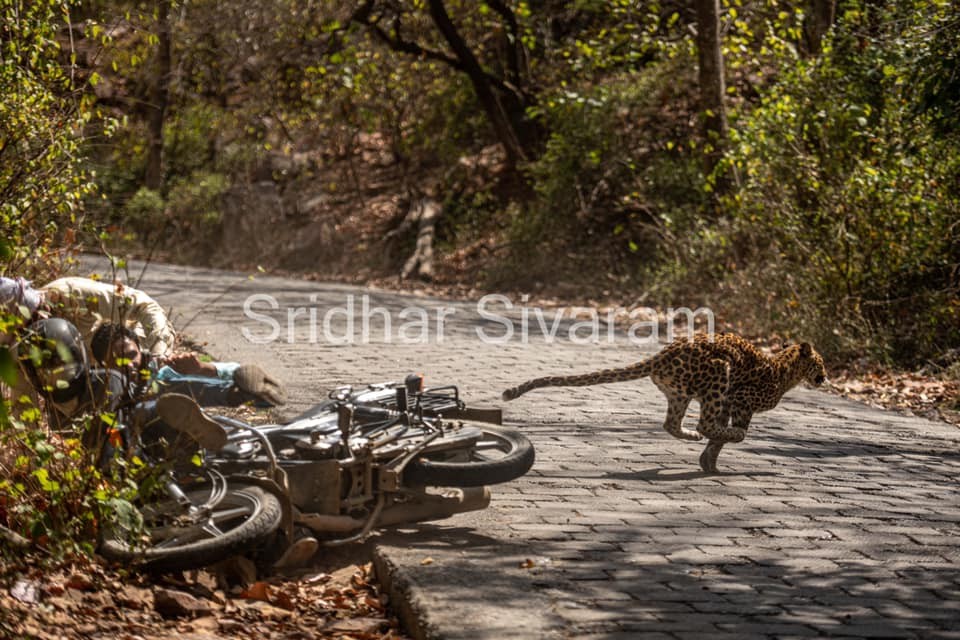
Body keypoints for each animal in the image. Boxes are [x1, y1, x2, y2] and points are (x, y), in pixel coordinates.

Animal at [502, 332, 824, 472]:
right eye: (820, 363)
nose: (825, 377)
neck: (786, 370)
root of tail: (664, 353)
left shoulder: (729, 404)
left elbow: (717, 438)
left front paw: (709, 463)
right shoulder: (739, 400)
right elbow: (725, 432)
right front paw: (726, 444)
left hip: (680, 394)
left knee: (672, 423)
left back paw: (690, 437)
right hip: (719, 374)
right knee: (702, 423)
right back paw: (707, 434)